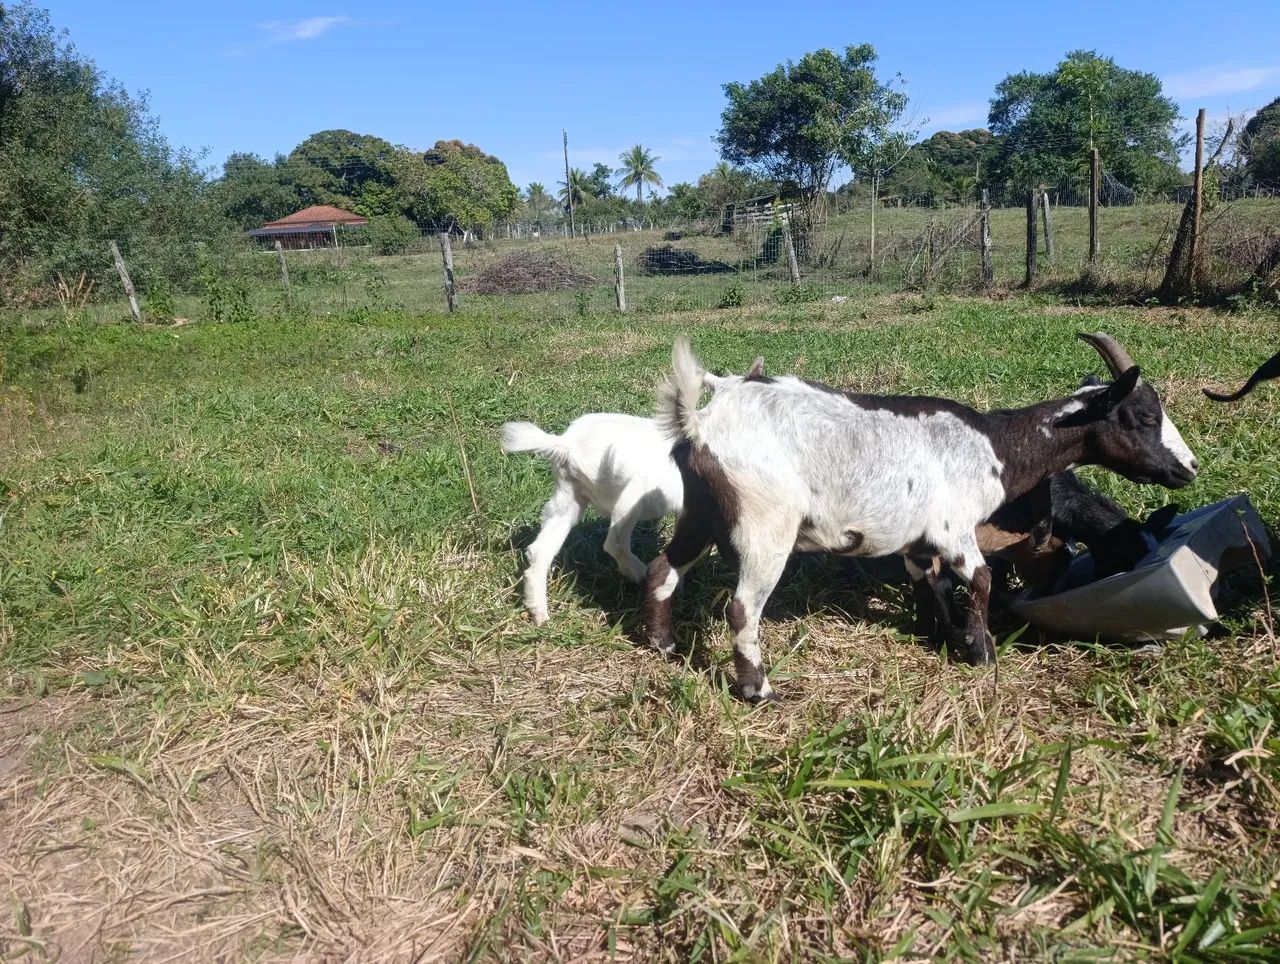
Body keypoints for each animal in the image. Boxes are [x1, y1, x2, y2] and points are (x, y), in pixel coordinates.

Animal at [501, 360, 763, 625]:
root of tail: (565, 444)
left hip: (569, 494)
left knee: (540, 549)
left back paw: (539, 613)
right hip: (631, 493)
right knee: (614, 541)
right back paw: (640, 573)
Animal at [645, 333, 1198, 701]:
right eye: (1144, 417)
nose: (1188, 468)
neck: (994, 447)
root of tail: (700, 422)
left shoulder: (916, 539)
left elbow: (932, 584)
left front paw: (942, 636)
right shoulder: (955, 527)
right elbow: (980, 579)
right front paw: (982, 651)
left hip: (700, 513)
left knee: (662, 568)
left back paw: (663, 645)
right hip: (766, 524)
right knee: (742, 609)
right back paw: (757, 689)